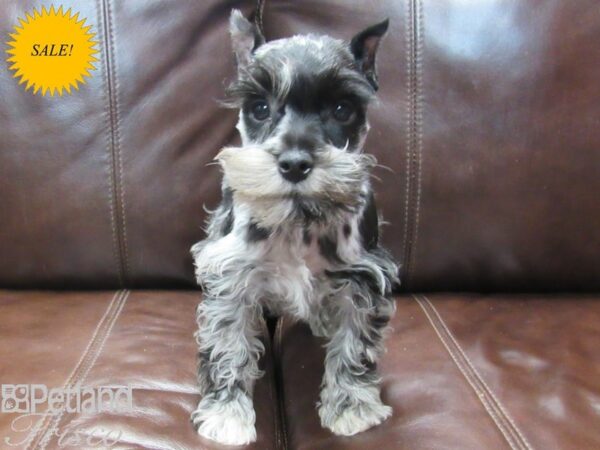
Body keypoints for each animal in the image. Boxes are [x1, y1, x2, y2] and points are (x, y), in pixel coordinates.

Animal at [191, 8, 398, 444]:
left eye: (342, 109)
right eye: (259, 107)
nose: (295, 163)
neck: (299, 223)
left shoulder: (364, 279)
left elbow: (356, 345)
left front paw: (352, 406)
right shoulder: (229, 277)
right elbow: (227, 343)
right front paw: (226, 414)